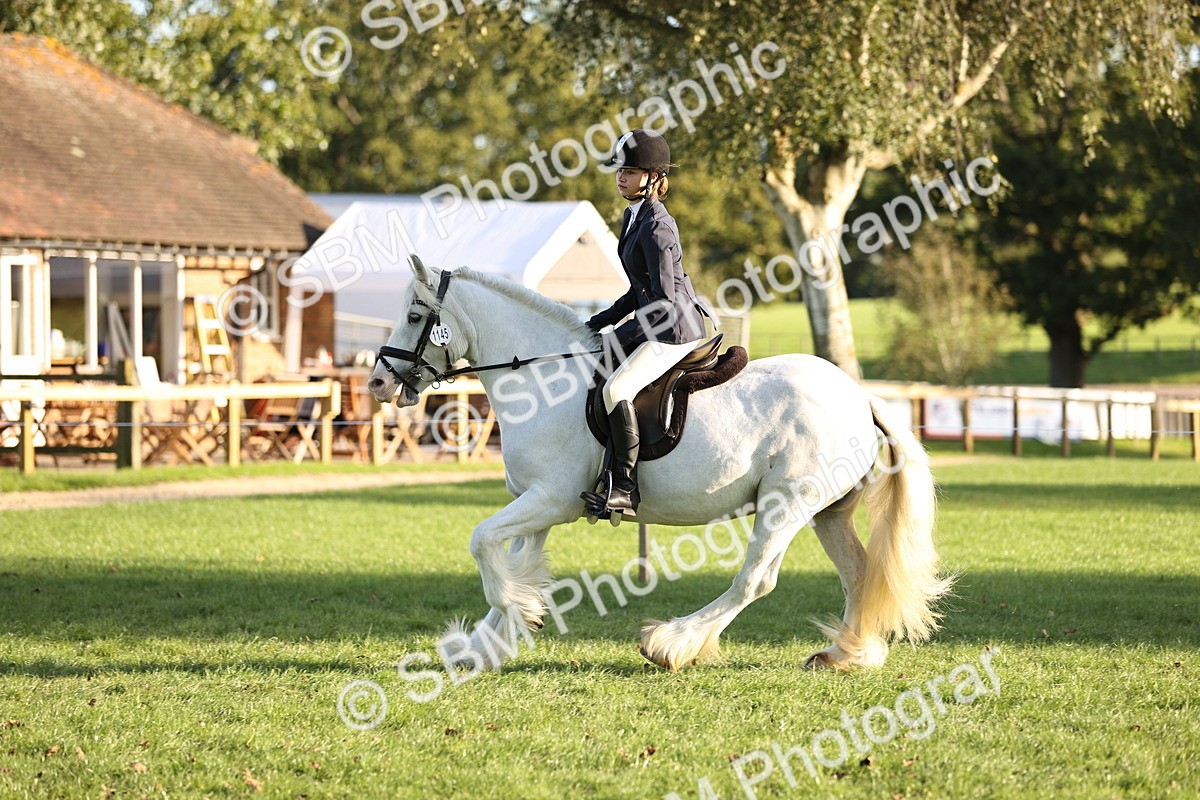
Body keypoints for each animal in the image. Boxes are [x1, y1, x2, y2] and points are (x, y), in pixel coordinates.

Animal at [368, 256, 952, 671]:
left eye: (416, 316)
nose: (377, 382)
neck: (541, 378)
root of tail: (859, 396)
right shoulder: (537, 505)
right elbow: (514, 562)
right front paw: (483, 645)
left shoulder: (550, 500)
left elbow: (483, 544)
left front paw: (516, 616)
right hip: (827, 512)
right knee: (858, 573)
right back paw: (850, 655)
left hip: (786, 504)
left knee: (755, 581)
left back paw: (671, 643)